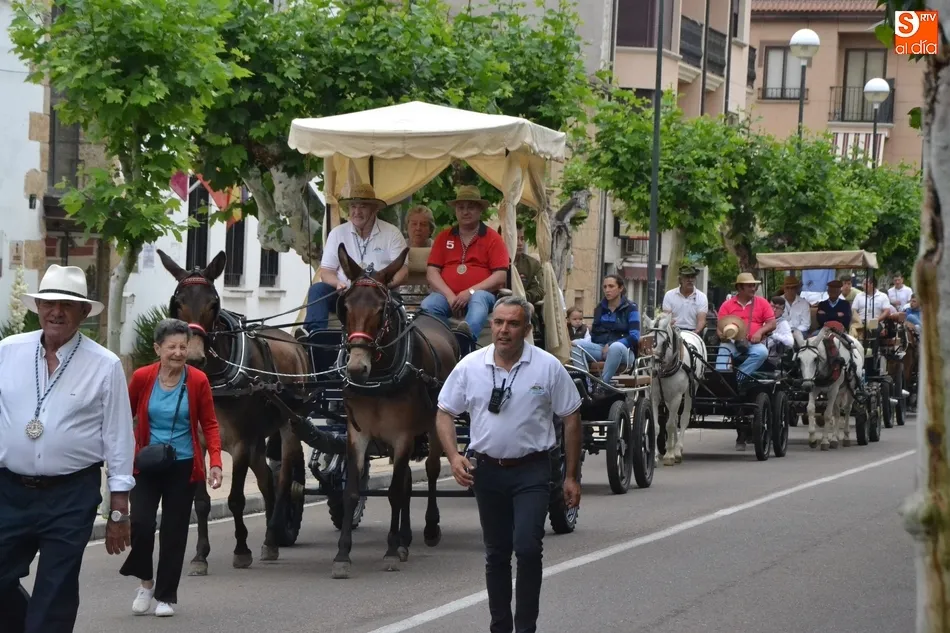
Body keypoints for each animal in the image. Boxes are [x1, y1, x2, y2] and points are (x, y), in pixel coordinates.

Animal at [157, 249, 310, 574]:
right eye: (177, 303)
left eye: (214, 304)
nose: (193, 357)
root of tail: (295, 341)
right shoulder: (199, 442)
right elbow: (201, 501)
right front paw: (200, 555)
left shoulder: (241, 443)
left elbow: (236, 498)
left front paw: (241, 550)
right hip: (258, 440)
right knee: (266, 480)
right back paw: (271, 540)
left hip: (290, 425)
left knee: (282, 481)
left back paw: (272, 535)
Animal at [329, 242, 460, 579]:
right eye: (344, 307)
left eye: (382, 310)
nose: (356, 368)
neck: (378, 377)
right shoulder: (357, 434)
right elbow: (352, 491)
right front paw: (342, 555)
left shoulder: (402, 435)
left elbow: (393, 493)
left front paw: (389, 551)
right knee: (406, 481)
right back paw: (405, 538)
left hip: (434, 426)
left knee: (429, 471)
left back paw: (427, 530)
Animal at [649, 312, 706, 466]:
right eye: (646, 341)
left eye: (664, 342)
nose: (653, 371)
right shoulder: (654, 397)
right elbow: (657, 426)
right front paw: (654, 456)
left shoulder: (676, 397)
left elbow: (669, 425)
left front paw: (669, 455)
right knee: (674, 420)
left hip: (691, 390)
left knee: (684, 418)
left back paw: (678, 450)